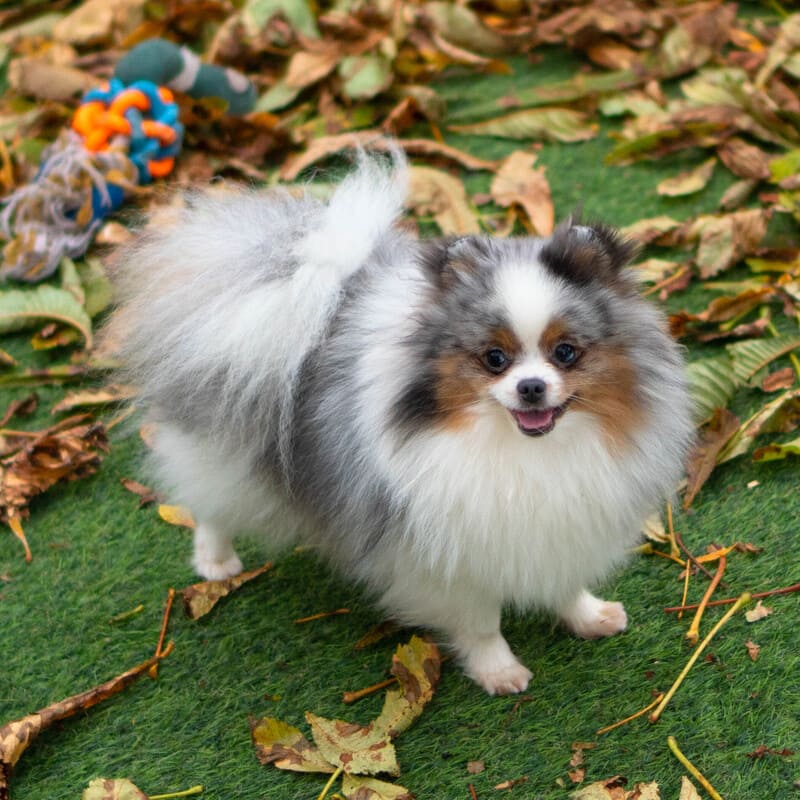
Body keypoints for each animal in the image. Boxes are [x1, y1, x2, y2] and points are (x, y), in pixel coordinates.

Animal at [112, 152, 692, 692]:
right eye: (494, 359)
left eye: (566, 352)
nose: (531, 387)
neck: (524, 450)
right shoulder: (444, 552)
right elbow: (481, 622)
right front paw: (498, 671)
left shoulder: (563, 524)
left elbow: (565, 582)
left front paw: (588, 616)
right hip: (226, 452)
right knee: (209, 504)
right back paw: (216, 562)